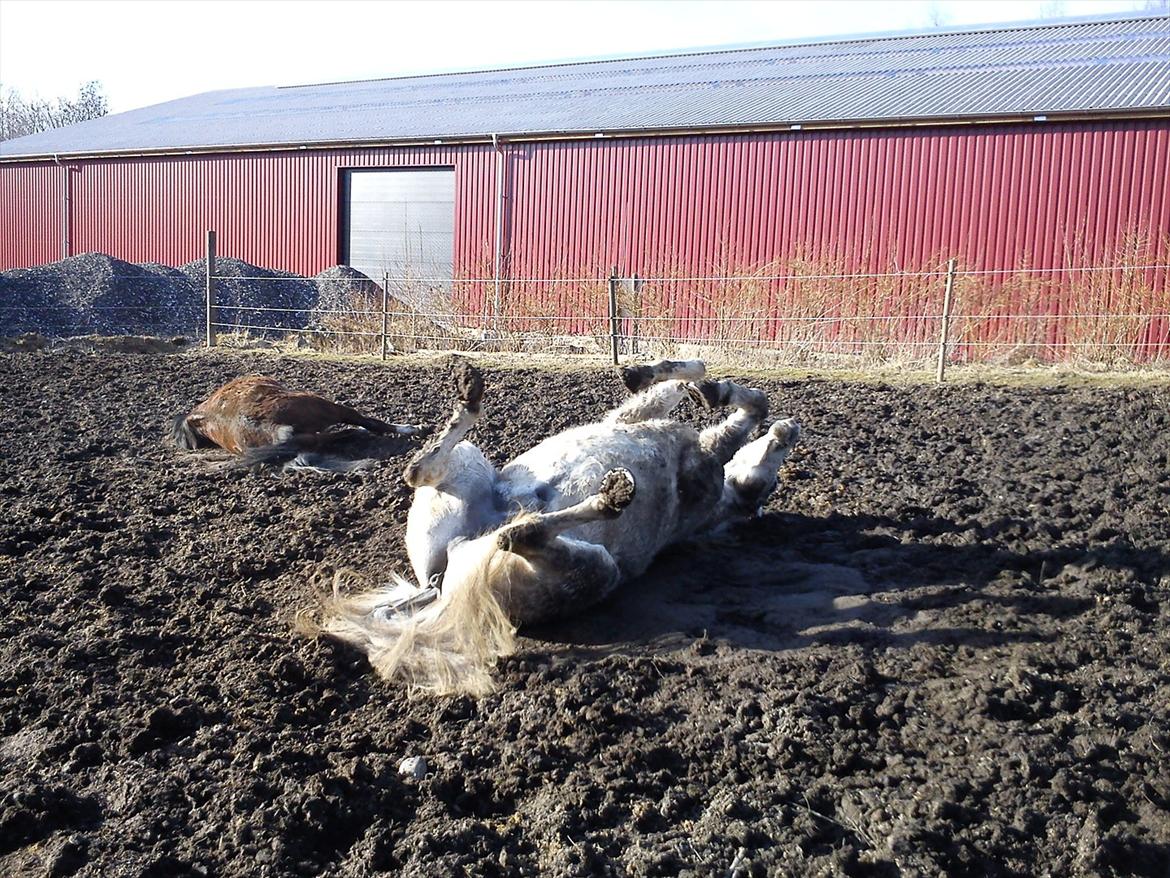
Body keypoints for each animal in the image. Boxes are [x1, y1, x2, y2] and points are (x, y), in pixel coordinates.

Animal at [315, 360, 800, 697]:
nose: (789, 431)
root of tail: (439, 590)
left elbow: (746, 407)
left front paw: (708, 389)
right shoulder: (632, 421)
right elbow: (690, 390)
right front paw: (677, 380)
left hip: (597, 569)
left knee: (517, 532)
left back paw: (608, 496)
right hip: (468, 477)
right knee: (422, 471)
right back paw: (471, 395)